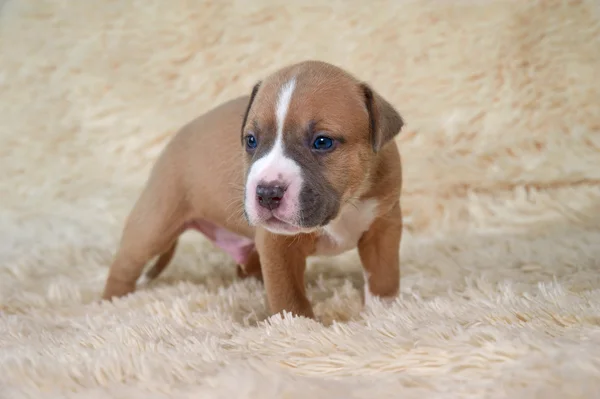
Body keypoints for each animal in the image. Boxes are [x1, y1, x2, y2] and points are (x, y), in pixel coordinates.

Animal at [102, 59, 404, 320]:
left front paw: (384, 314)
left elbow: (383, 276)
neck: (345, 205)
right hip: (153, 224)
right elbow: (288, 297)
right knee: (124, 267)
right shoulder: (277, 245)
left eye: (322, 142)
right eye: (251, 140)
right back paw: (110, 303)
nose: (267, 193)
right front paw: (298, 328)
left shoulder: (384, 226)